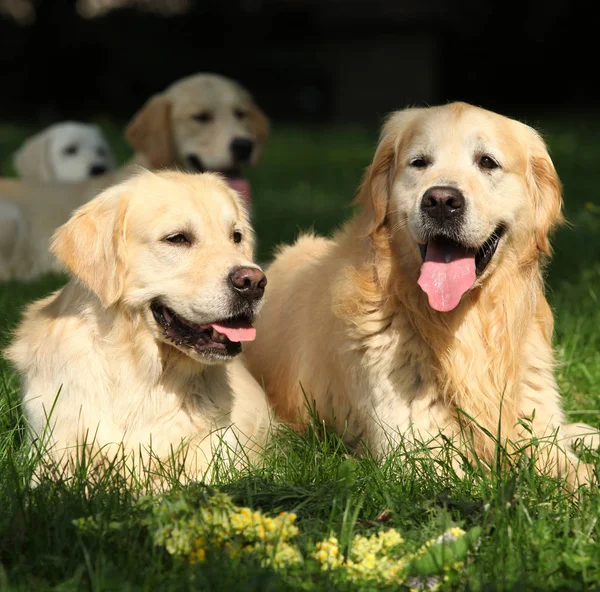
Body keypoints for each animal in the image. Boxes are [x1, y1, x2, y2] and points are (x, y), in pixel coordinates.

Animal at [246, 102, 596, 488]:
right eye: (419, 162)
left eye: (487, 162)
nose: (441, 200)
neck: (462, 324)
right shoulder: (422, 457)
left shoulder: (535, 432)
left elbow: (575, 469)